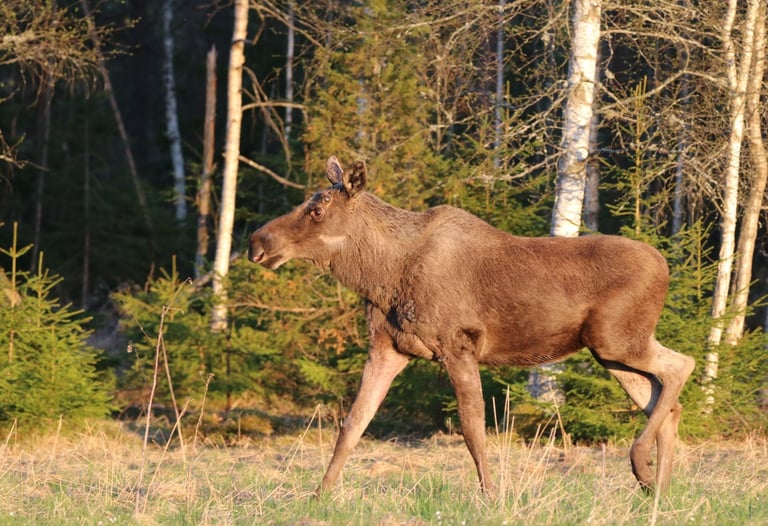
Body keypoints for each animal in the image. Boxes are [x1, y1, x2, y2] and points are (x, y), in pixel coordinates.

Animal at [248, 155, 696, 496]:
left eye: (317, 210)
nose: (257, 242)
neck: (381, 275)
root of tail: (667, 268)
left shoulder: (457, 344)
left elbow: (472, 428)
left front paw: (491, 495)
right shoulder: (388, 348)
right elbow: (352, 424)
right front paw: (320, 495)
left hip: (617, 339)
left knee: (681, 366)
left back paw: (642, 467)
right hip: (613, 353)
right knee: (665, 400)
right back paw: (659, 490)